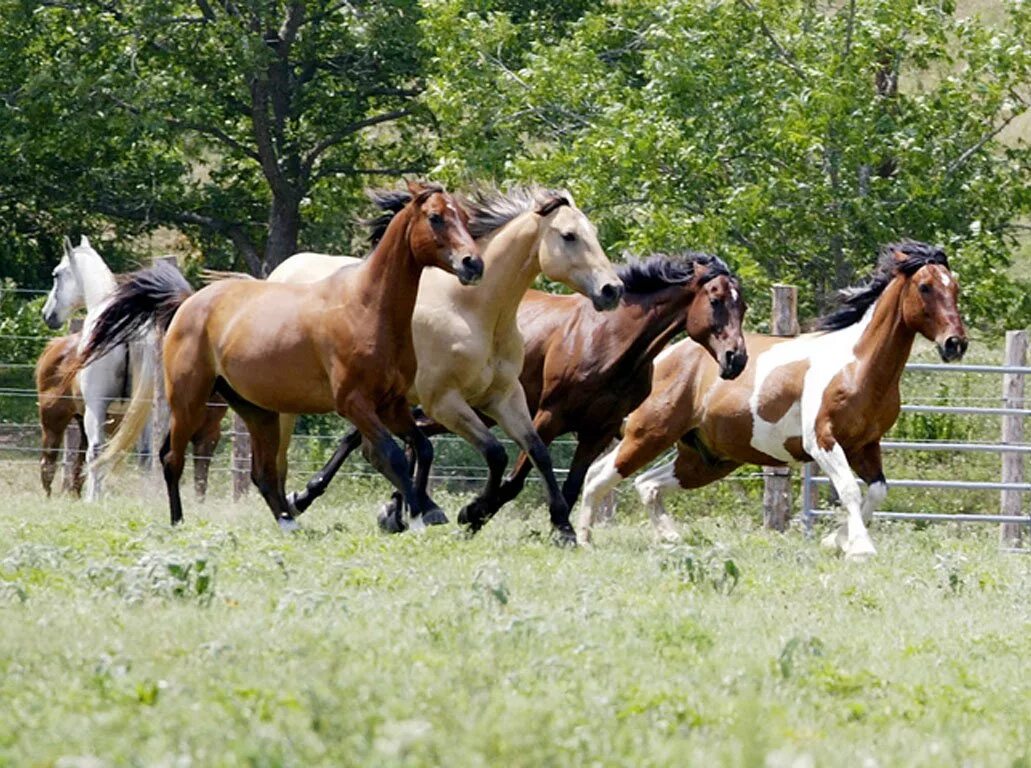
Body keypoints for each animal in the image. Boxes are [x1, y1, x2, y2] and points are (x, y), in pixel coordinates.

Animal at [38, 331, 229, 501]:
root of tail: (56, 345)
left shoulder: (208, 434)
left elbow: (201, 474)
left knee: (83, 457)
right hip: (54, 420)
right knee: (50, 456)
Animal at [76, 180, 486, 531]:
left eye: (465, 218)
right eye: (435, 217)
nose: (473, 263)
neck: (367, 307)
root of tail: (188, 303)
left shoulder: (392, 403)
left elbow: (422, 447)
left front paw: (423, 511)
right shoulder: (354, 404)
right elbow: (393, 454)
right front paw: (416, 516)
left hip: (257, 412)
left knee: (261, 471)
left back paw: (288, 521)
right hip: (190, 401)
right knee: (171, 458)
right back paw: (179, 522)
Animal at [263, 184, 626, 544]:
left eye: (592, 232)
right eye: (568, 235)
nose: (613, 290)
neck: (471, 311)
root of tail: (283, 268)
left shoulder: (504, 397)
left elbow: (537, 451)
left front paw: (563, 528)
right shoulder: (444, 402)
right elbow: (495, 452)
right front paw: (472, 512)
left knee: (369, 449)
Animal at [484, 254, 750, 523]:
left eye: (743, 307)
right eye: (715, 301)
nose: (736, 359)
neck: (608, 340)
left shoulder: (598, 432)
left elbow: (570, 490)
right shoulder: (548, 417)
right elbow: (514, 482)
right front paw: (476, 515)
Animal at [581, 241, 965, 556]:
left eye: (955, 287)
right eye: (925, 286)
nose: (955, 344)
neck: (857, 366)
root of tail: (663, 358)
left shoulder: (866, 446)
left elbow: (877, 491)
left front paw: (835, 541)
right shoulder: (822, 441)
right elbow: (850, 491)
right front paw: (859, 548)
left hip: (707, 459)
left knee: (646, 484)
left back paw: (670, 538)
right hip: (648, 435)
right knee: (599, 475)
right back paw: (583, 538)